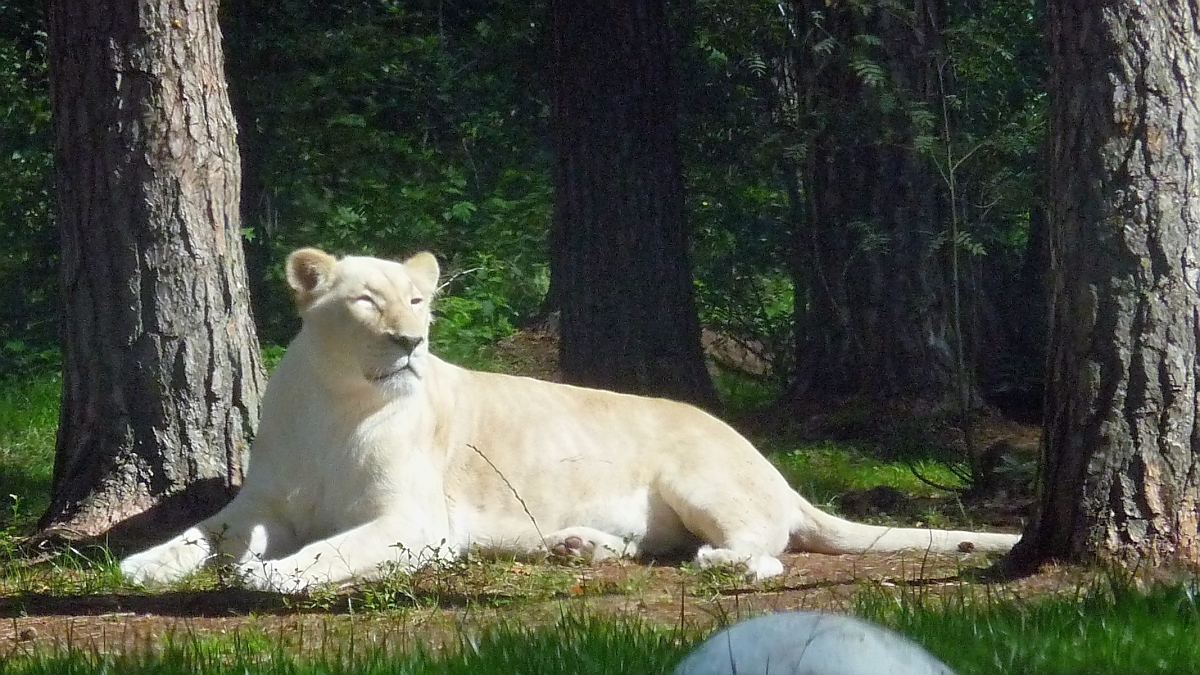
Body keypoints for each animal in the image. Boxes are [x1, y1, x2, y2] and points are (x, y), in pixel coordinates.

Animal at [119, 247, 1022, 588]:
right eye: (368, 300)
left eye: (419, 302)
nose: (411, 342)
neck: (339, 403)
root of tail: (767, 459)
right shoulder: (258, 503)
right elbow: (199, 533)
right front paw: (141, 564)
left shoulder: (415, 520)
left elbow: (333, 548)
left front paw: (272, 574)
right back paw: (581, 544)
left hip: (704, 479)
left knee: (770, 548)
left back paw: (719, 561)